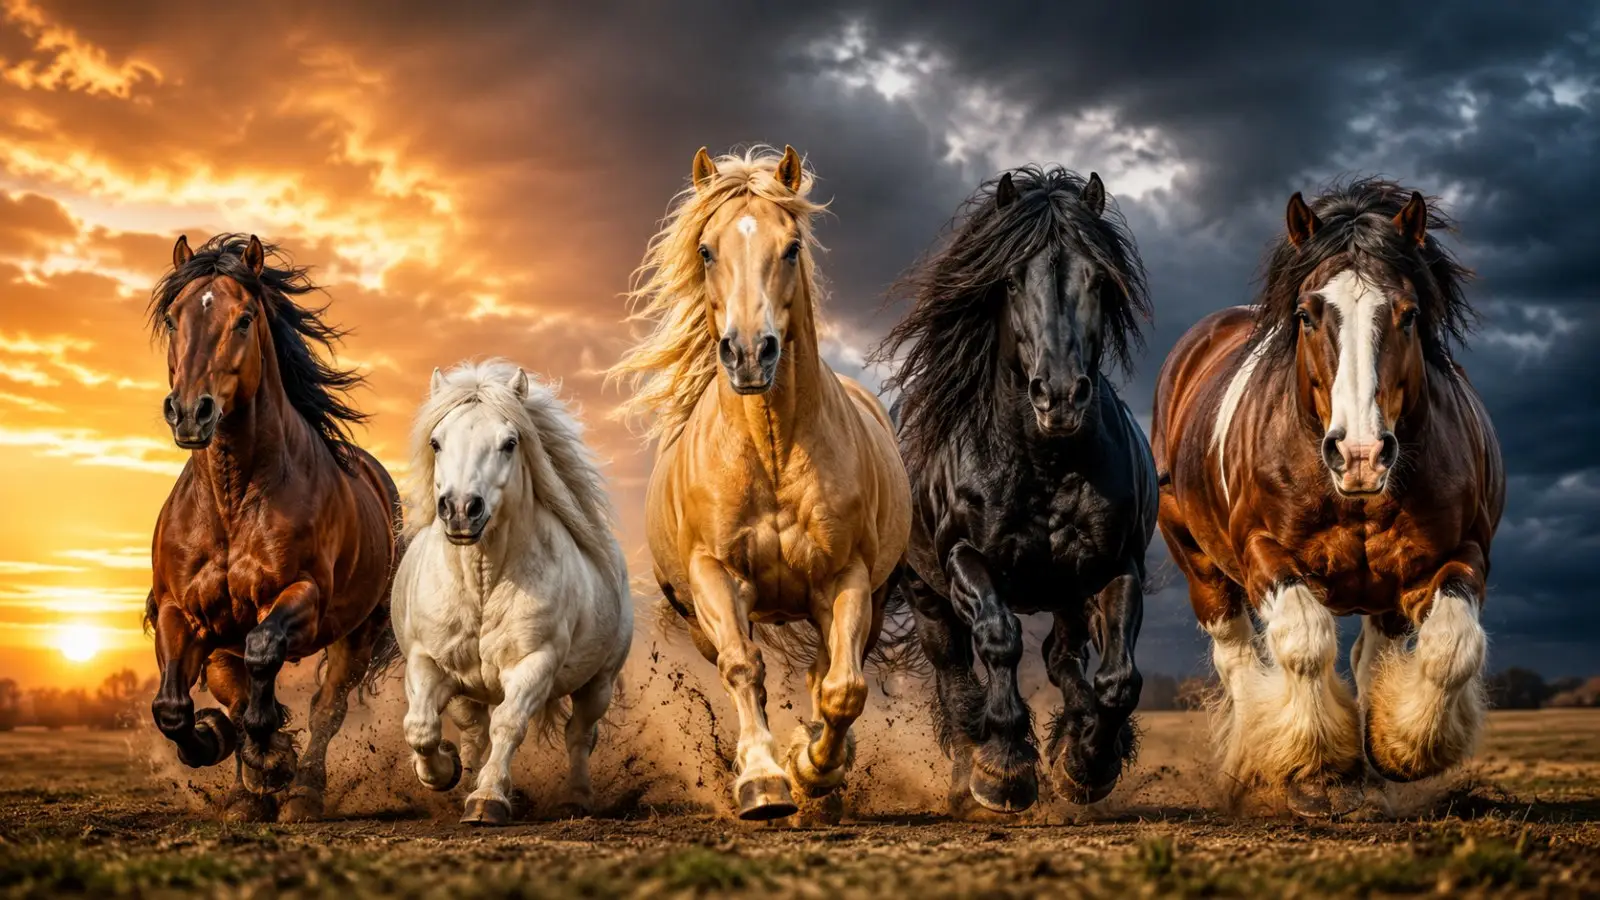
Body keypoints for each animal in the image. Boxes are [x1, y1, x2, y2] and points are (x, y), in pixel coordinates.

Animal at [145, 233, 401, 823]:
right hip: (222, 640)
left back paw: (301, 791)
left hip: (358, 633)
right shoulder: (180, 611)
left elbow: (266, 655)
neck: (233, 501)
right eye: (172, 317)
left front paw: (273, 760)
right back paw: (244, 795)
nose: (190, 412)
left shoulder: (299, 596)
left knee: (327, 707)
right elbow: (173, 707)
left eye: (243, 319)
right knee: (235, 695)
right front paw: (216, 742)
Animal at [392, 359, 632, 826]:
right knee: (473, 731)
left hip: (598, 683)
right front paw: (444, 772)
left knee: (579, 735)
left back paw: (575, 798)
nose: (461, 509)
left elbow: (509, 724)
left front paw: (488, 799)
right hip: (468, 692)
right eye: (436, 442)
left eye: (509, 442)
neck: (482, 584)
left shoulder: (533, 663)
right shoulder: (428, 661)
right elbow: (421, 727)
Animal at [607, 145, 911, 820]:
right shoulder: (715, 575)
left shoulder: (845, 578)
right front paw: (764, 780)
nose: (750, 354)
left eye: (792, 246)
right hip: (700, 618)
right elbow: (744, 669)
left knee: (827, 673)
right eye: (706, 250)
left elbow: (843, 689)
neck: (771, 453)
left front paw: (813, 769)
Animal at [876, 166, 1158, 815]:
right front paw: (1004, 767)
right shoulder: (965, 561)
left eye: (1098, 278)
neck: (1042, 460)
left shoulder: (1114, 564)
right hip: (928, 597)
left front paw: (1087, 764)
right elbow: (999, 641)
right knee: (956, 679)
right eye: (1008, 279)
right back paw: (966, 778)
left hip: (1065, 591)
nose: (1059, 396)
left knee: (1061, 658)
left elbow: (1118, 679)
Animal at [1151, 178, 1505, 817]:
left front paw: (1401, 751)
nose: (1360, 453)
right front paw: (1315, 766)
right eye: (1307, 315)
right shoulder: (1264, 553)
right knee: (1235, 655)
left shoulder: (1458, 553)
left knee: (1374, 657)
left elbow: (1451, 646)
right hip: (1201, 566)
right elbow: (1303, 641)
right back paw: (1252, 762)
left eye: (1409, 314)